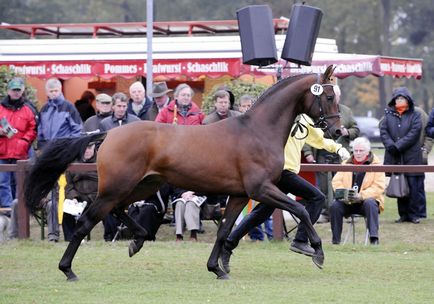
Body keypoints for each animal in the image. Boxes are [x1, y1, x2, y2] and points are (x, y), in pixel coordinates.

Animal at [25, 65, 340, 282]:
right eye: (328, 96)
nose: (338, 131)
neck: (257, 131)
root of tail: (109, 133)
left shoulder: (240, 195)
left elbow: (224, 230)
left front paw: (217, 268)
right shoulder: (261, 189)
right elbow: (300, 208)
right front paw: (318, 252)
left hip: (142, 186)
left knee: (119, 210)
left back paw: (138, 240)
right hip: (117, 187)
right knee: (87, 221)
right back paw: (68, 270)